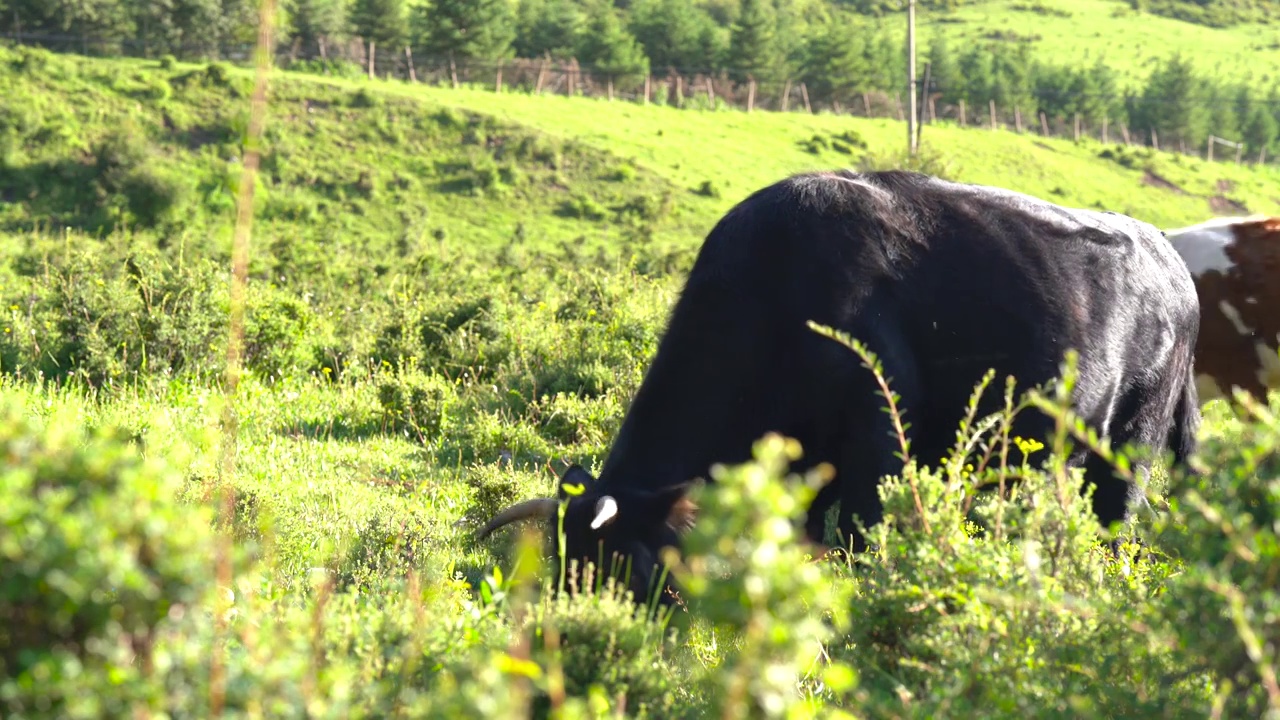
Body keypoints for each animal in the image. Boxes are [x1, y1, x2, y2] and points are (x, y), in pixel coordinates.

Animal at [476, 170, 1203, 607]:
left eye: (624, 568)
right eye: (563, 570)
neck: (773, 289)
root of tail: (1171, 261)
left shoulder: (876, 441)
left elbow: (859, 535)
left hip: (1132, 446)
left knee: (1115, 525)